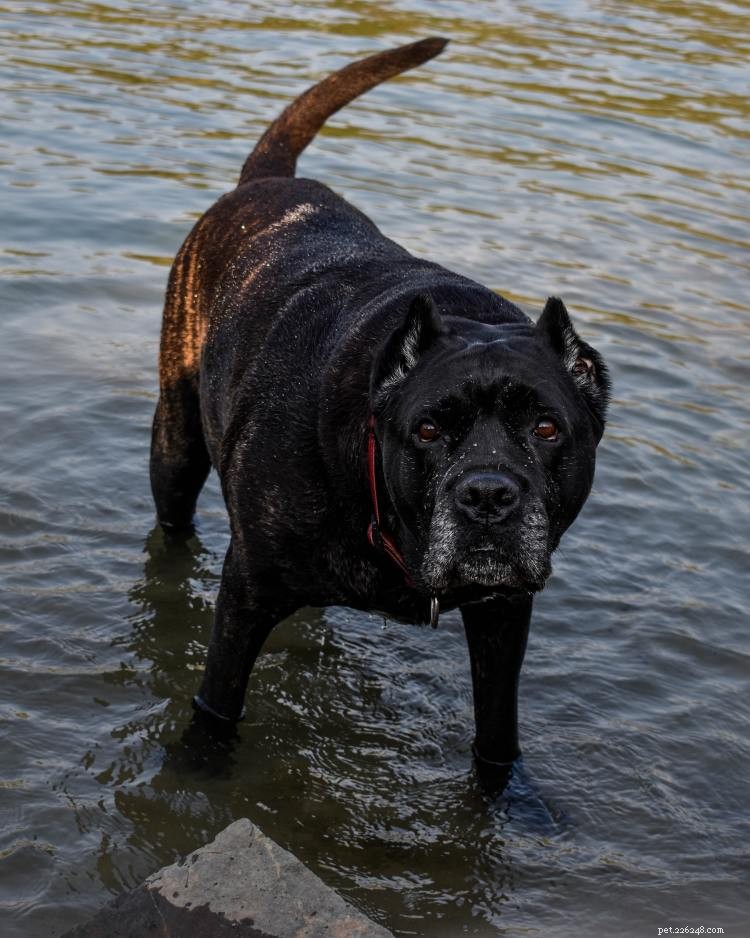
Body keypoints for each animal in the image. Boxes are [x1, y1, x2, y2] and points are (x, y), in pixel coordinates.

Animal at [151, 36, 612, 780]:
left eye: (546, 428)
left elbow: (497, 736)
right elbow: (217, 704)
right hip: (176, 446)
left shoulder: (504, 616)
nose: (488, 495)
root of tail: (264, 183)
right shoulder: (247, 592)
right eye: (426, 429)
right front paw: (197, 771)